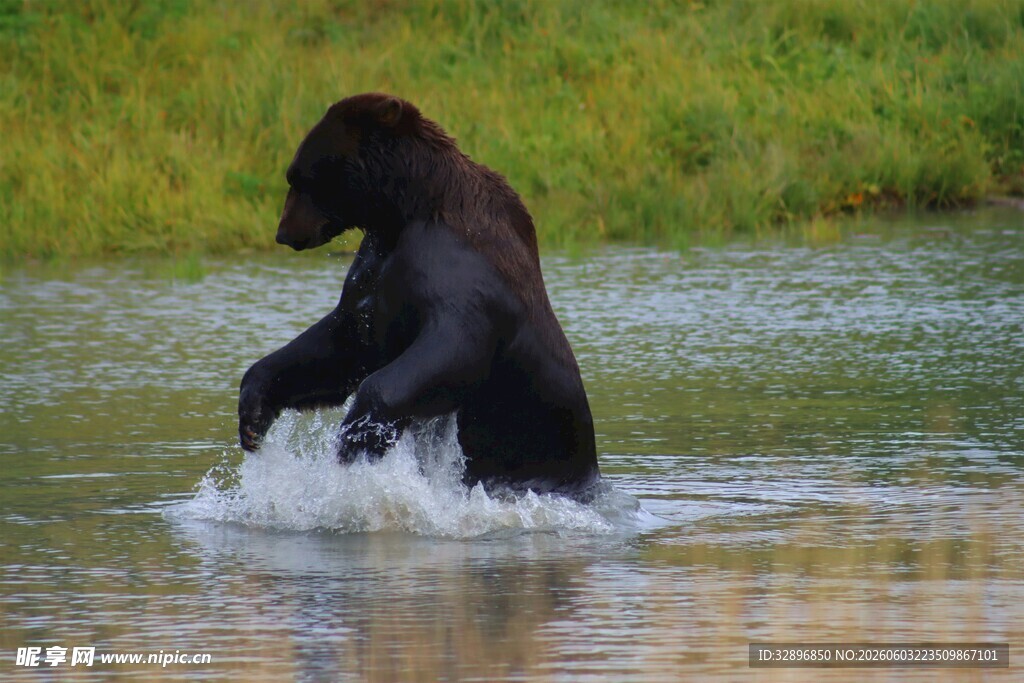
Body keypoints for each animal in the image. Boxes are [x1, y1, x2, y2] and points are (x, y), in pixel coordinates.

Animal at [238, 93, 600, 495]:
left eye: (301, 178)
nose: (283, 233)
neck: (402, 211)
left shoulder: (456, 267)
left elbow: (454, 347)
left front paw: (357, 436)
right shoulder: (375, 272)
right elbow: (345, 341)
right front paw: (253, 414)